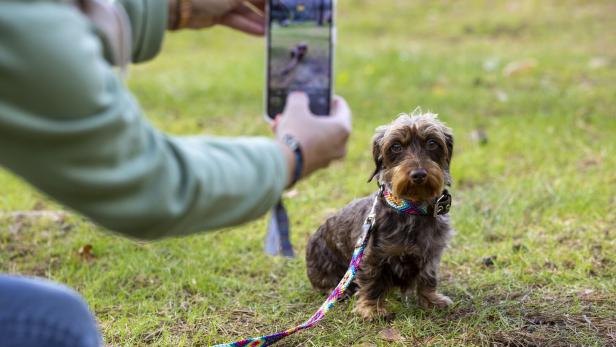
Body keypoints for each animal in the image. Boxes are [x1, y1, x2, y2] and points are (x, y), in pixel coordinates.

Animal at [306, 112, 454, 320]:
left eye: (432, 143)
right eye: (396, 146)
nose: (418, 174)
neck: (410, 208)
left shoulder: (431, 253)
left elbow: (427, 278)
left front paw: (432, 300)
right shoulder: (372, 256)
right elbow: (372, 282)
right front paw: (372, 309)